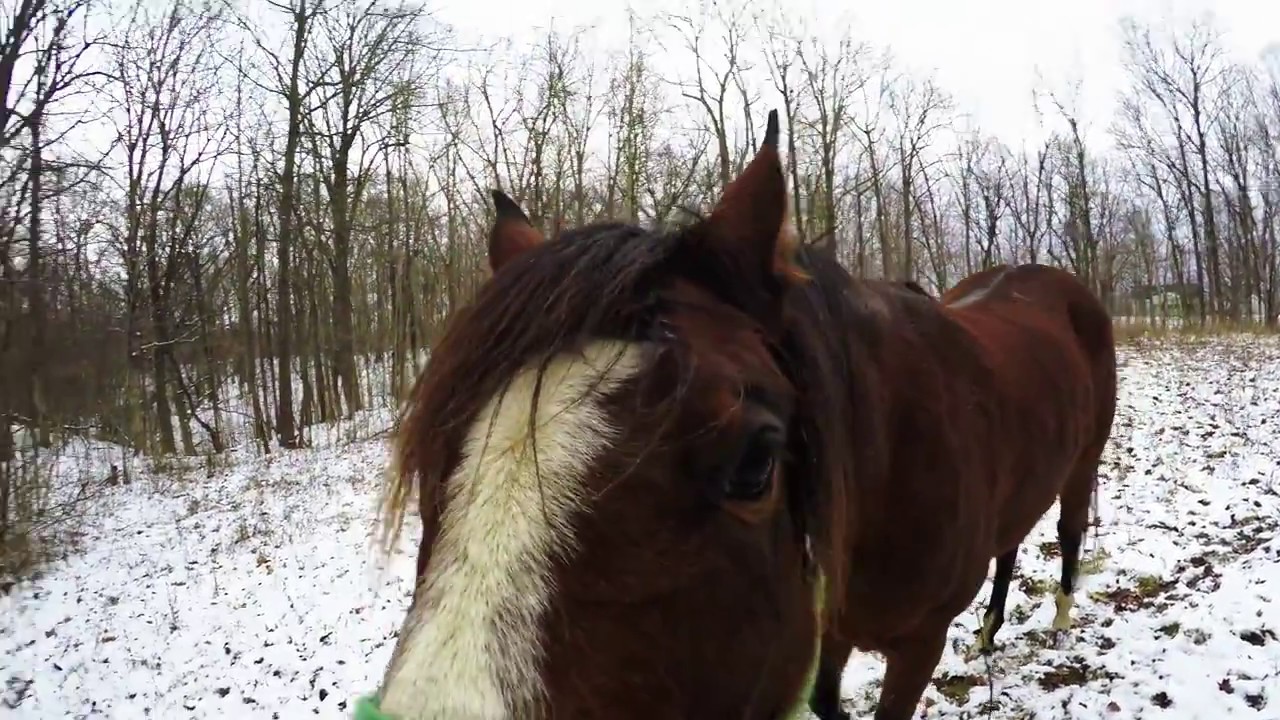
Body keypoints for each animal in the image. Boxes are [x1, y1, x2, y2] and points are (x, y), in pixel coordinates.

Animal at [360, 109, 1118, 720]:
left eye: (756, 463)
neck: (894, 464)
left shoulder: (917, 643)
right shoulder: (822, 632)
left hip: (1083, 463)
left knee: (1068, 528)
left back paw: (1059, 617)